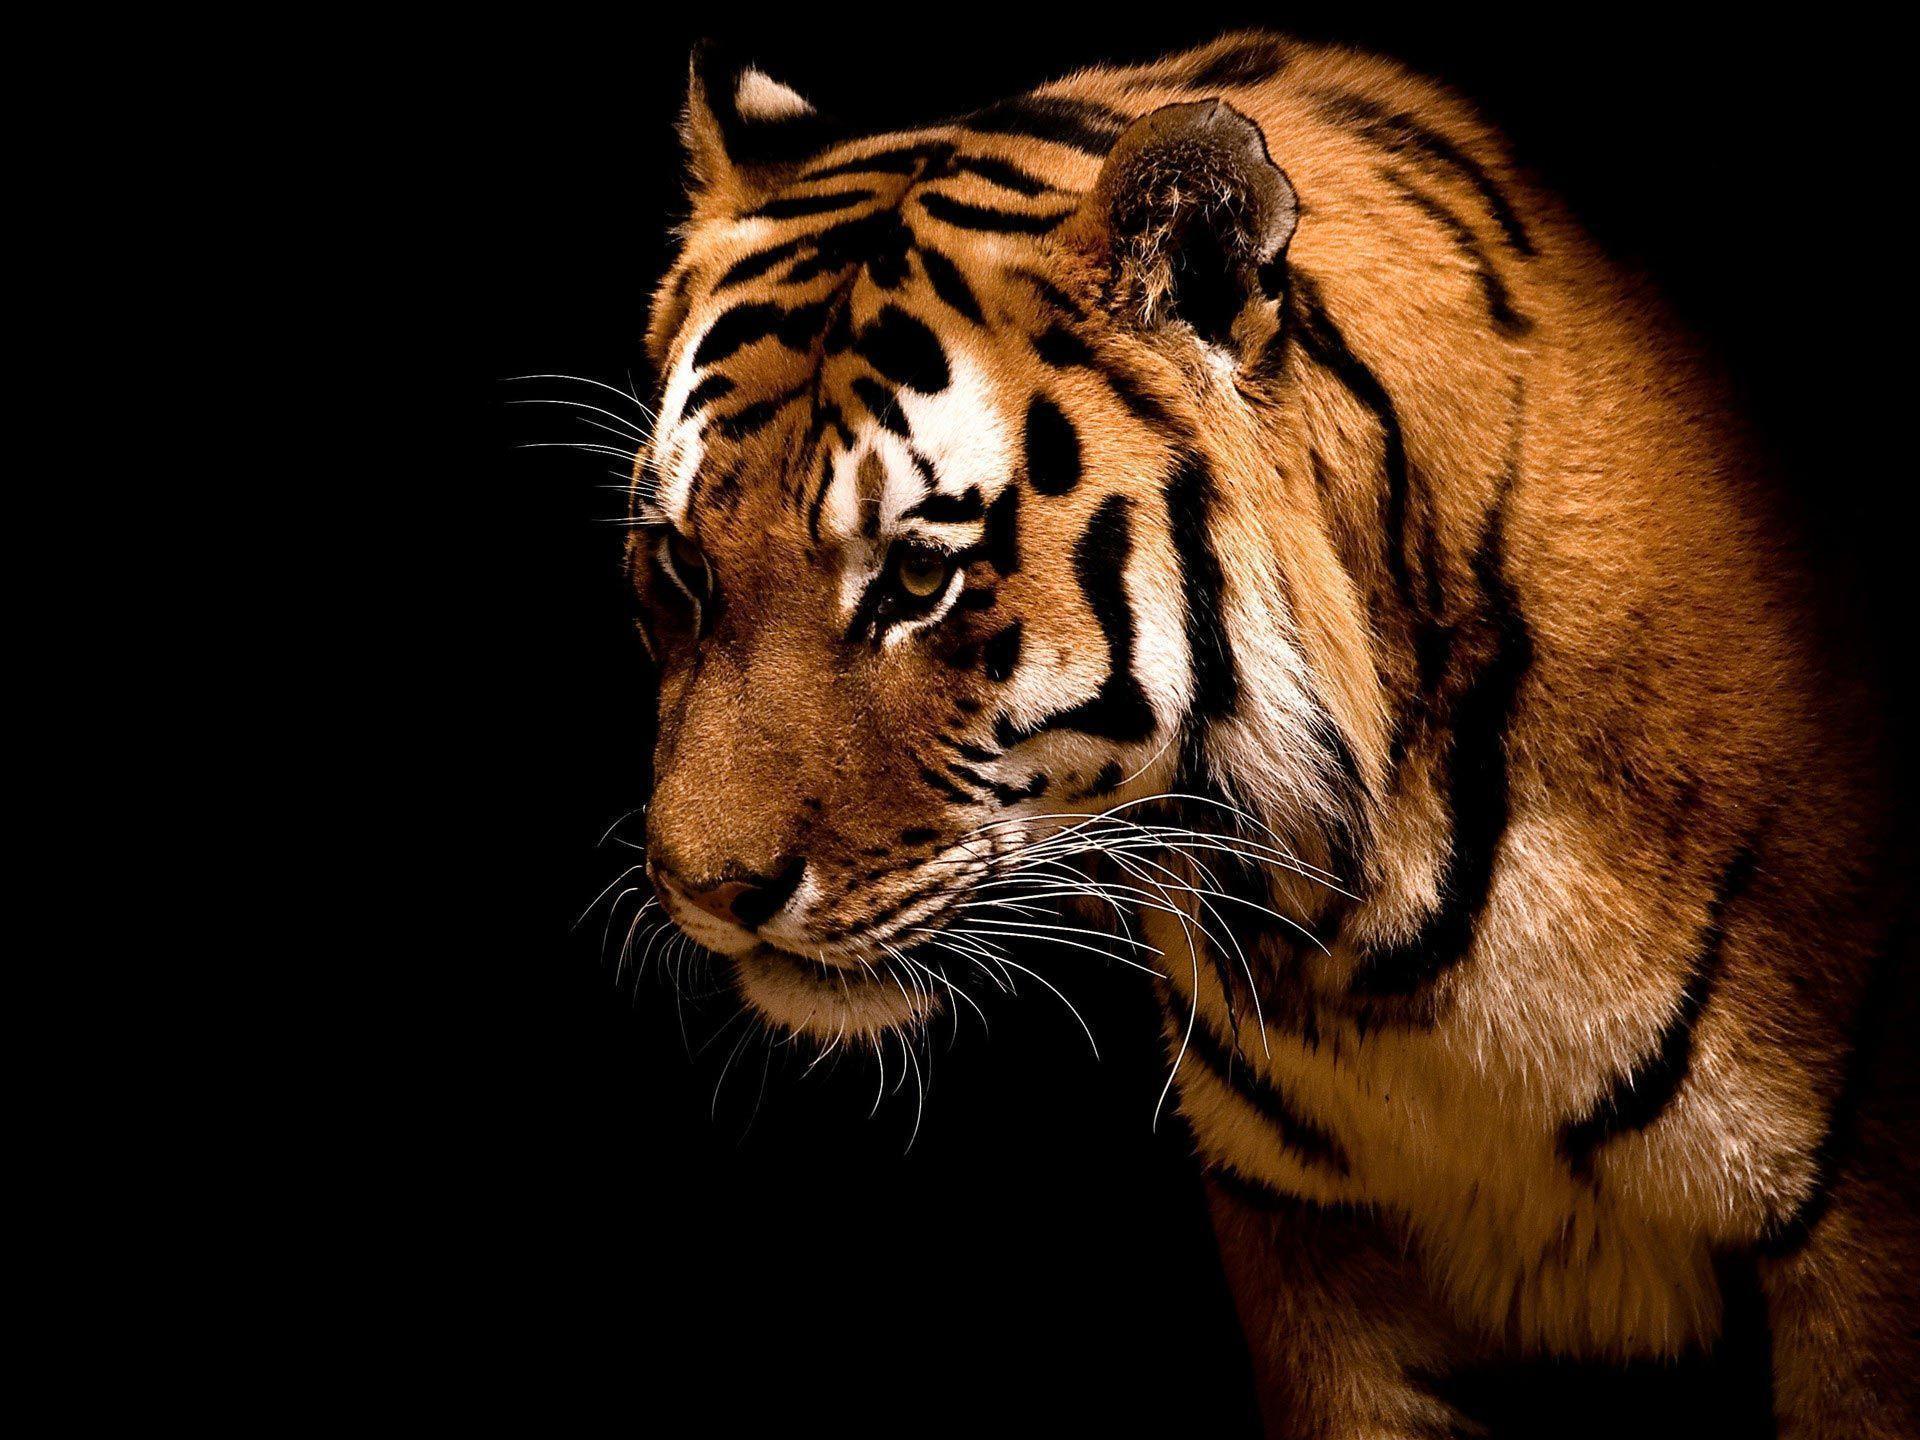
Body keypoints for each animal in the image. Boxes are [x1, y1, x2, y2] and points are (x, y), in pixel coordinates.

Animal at [622, 29, 1917, 1438]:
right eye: (681, 567)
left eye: (918, 579)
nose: (708, 892)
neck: (1370, 939)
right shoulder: (1312, 1239)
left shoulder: (1858, 1231)